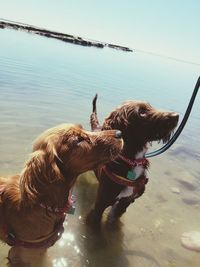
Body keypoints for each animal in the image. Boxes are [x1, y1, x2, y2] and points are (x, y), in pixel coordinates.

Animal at [86, 95, 179, 227]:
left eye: (150, 106)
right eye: (142, 112)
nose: (176, 116)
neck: (131, 160)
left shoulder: (126, 201)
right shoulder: (100, 204)